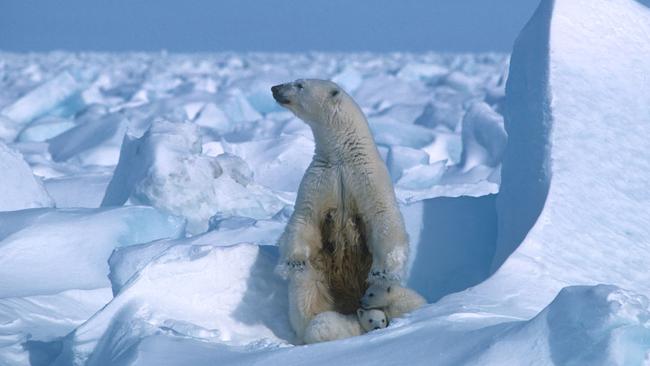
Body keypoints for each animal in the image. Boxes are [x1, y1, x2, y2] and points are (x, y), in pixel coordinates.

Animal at [270, 79, 408, 340]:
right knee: (306, 291)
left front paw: (382, 270)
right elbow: (304, 218)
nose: (275, 88)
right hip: (320, 275)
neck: (342, 156)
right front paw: (293, 262)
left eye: (299, 84)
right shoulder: (320, 179)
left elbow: (383, 217)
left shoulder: (367, 178)